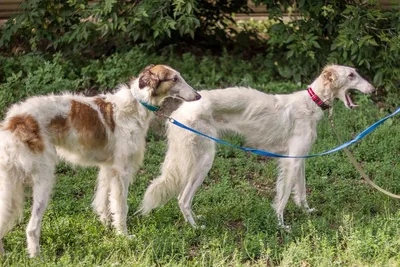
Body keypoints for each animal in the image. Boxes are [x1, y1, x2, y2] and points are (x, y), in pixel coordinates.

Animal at [0, 64, 200, 258]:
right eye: (174, 79)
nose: (198, 95)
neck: (136, 104)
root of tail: (13, 121)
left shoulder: (108, 168)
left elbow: (103, 202)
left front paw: (107, 227)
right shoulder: (121, 171)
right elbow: (121, 207)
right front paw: (124, 236)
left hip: (11, 184)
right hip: (44, 178)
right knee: (31, 227)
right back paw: (37, 256)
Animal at [140, 65, 376, 230]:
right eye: (351, 75)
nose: (374, 90)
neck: (311, 102)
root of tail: (178, 111)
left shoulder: (300, 158)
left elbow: (300, 191)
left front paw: (306, 211)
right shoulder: (291, 161)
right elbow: (283, 197)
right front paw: (281, 225)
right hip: (204, 161)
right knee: (182, 198)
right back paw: (196, 227)